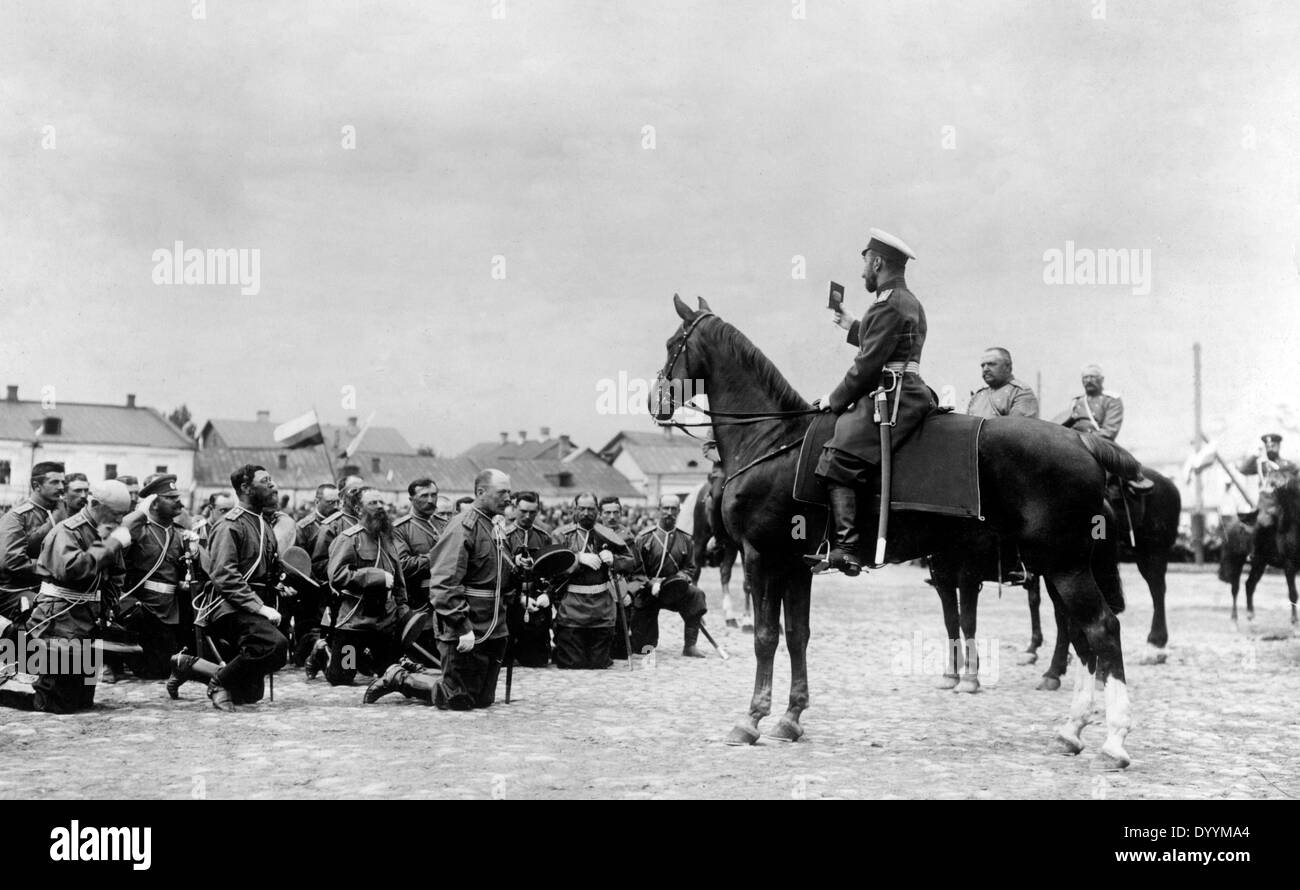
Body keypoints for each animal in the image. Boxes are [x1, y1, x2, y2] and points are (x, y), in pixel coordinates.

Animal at [650, 296, 1138, 763]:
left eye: (673, 344)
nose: (655, 402)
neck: (773, 441)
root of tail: (1081, 441)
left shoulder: (762, 557)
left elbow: (767, 638)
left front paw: (751, 719)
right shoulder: (796, 566)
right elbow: (797, 636)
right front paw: (791, 718)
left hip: (1065, 567)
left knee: (1101, 629)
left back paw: (1113, 741)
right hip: (1057, 568)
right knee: (1081, 638)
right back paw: (1072, 731)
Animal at [1216, 472, 1300, 623]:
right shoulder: (1289, 566)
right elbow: (1293, 594)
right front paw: (1294, 621)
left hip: (1259, 564)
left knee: (1249, 584)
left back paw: (1250, 614)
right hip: (1236, 563)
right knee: (1235, 588)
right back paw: (1234, 617)